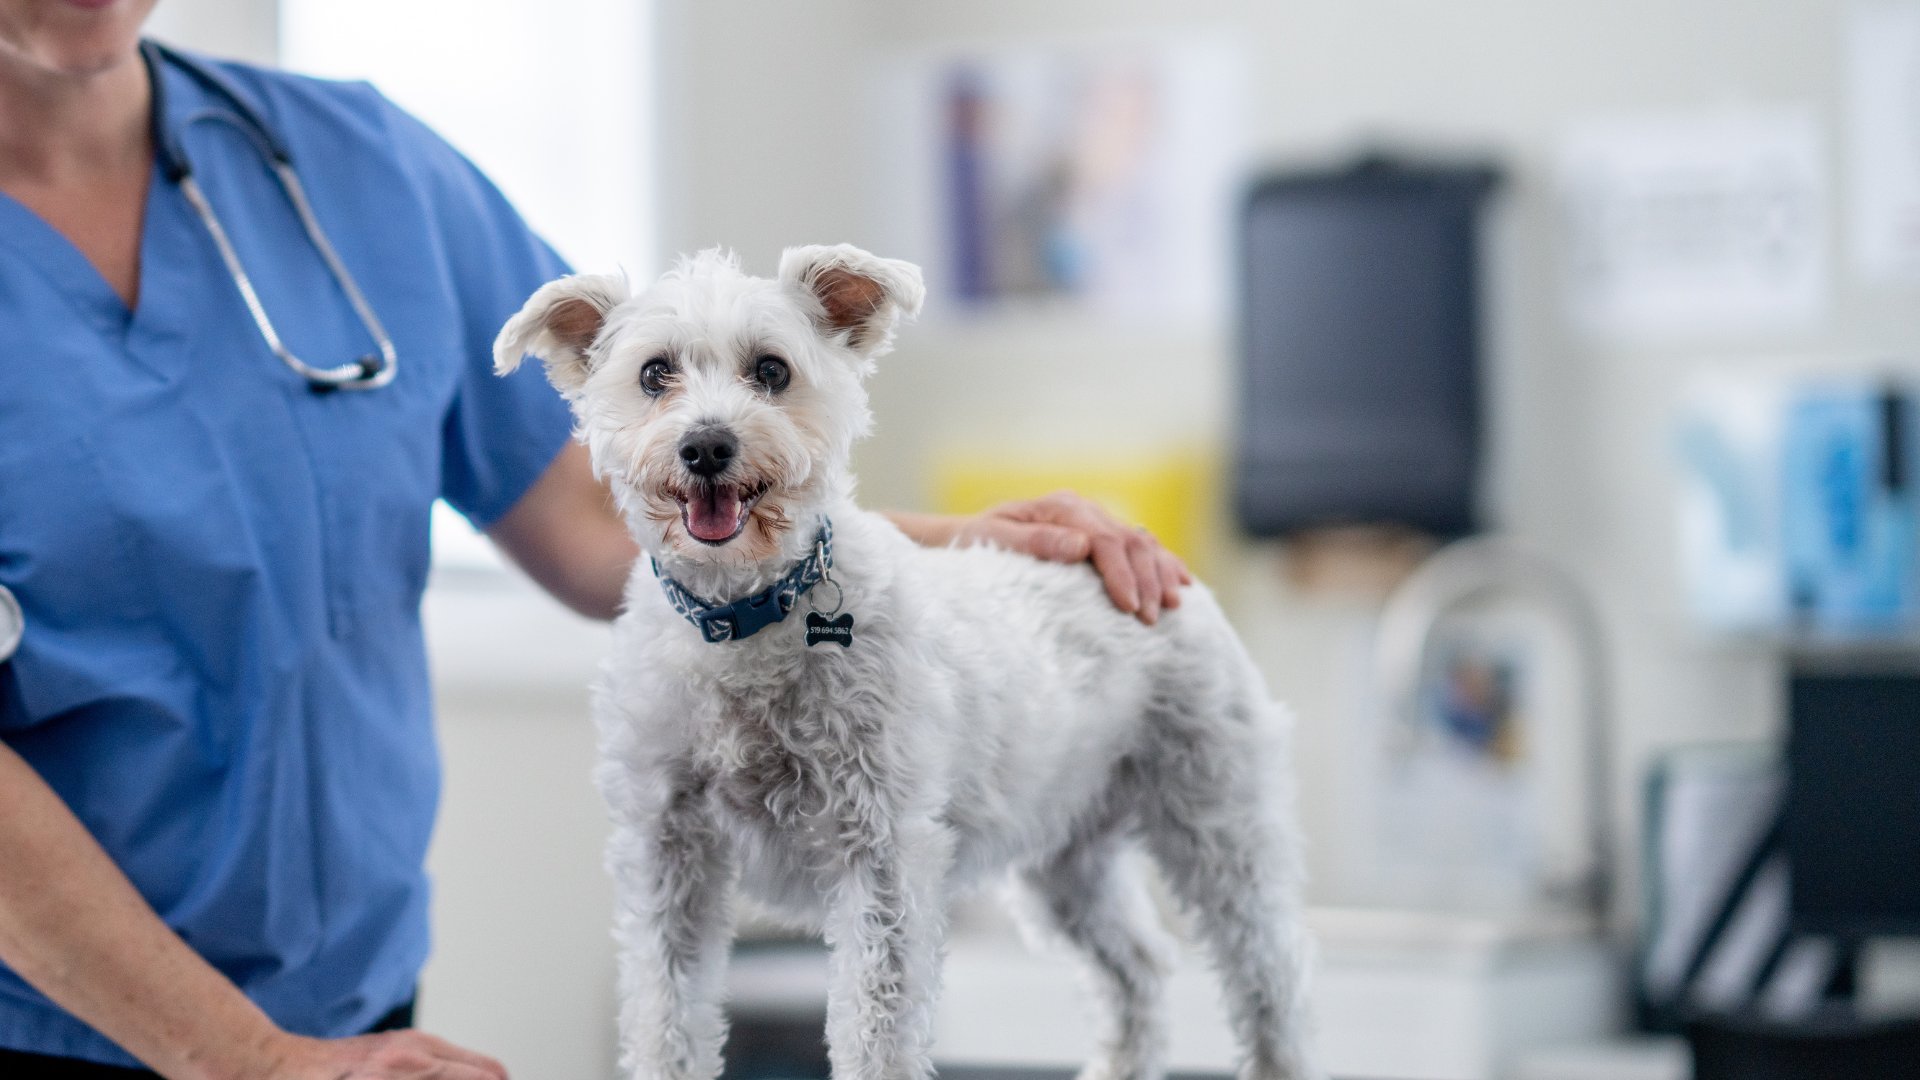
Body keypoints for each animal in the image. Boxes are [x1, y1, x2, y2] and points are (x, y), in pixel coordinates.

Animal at [491, 244, 1320, 1076]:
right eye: (655, 373)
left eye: (771, 370)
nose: (706, 447)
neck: (746, 619)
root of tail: (1151, 560)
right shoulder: (668, 858)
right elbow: (665, 1019)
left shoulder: (881, 859)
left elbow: (877, 1028)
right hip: (1066, 856)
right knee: (1140, 970)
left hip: (1219, 830)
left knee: (1273, 989)